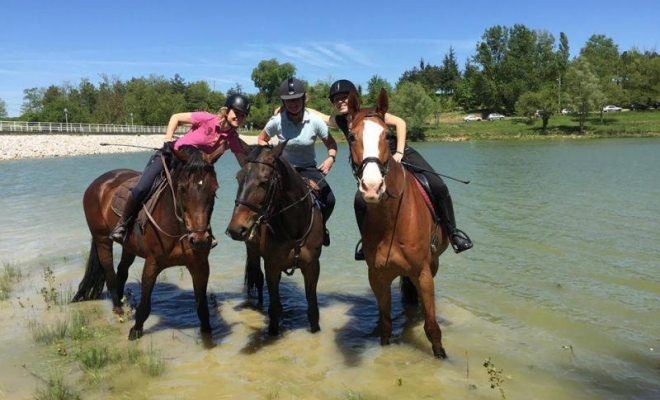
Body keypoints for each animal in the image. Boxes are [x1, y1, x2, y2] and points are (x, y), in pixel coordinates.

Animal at [72, 145, 227, 340]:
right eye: (182, 188)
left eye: (214, 190)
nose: (199, 240)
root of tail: (98, 182)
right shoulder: (152, 263)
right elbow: (145, 304)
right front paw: (135, 331)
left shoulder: (200, 266)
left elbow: (203, 310)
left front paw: (207, 336)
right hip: (102, 240)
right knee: (109, 271)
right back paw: (118, 307)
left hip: (128, 246)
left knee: (122, 271)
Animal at [227, 142, 324, 336]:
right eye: (238, 178)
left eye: (264, 182)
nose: (236, 229)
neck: (295, 227)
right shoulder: (272, 267)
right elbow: (274, 309)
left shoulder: (312, 267)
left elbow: (312, 310)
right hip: (253, 252)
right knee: (257, 278)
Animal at [346, 89, 448, 358]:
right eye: (351, 136)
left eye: (387, 135)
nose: (372, 187)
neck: (392, 220)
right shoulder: (378, 276)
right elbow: (385, 324)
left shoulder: (423, 273)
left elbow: (432, 327)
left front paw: (442, 356)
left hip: (433, 263)